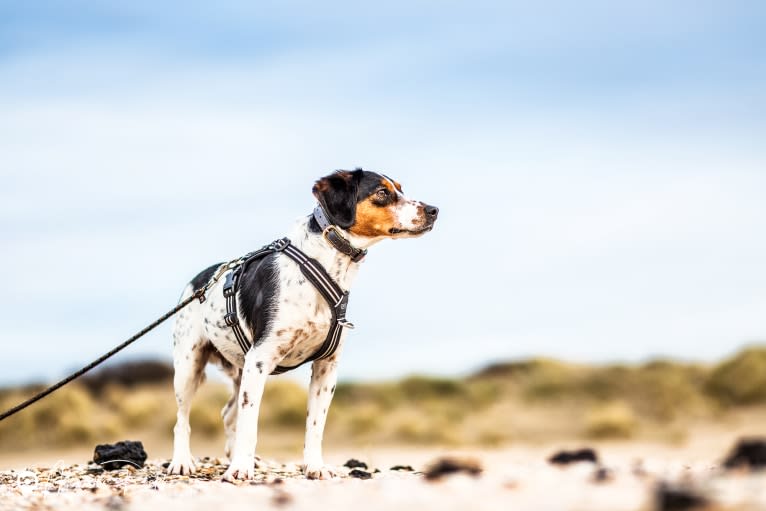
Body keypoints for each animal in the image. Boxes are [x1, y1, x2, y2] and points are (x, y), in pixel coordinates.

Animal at [170, 170, 440, 482]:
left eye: (400, 188)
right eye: (383, 193)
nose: (434, 210)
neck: (323, 265)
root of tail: (199, 282)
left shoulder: (326, 367)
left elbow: (315, 425)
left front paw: (314, 466)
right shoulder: (260, 360)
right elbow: (251, 424)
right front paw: (240, 469)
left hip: (240, 370)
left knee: (228, 414)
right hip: (189, 366)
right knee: (183, 419)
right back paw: (182, 461)